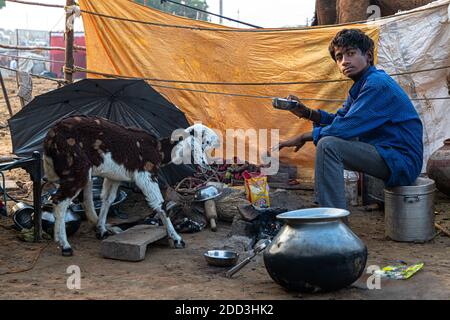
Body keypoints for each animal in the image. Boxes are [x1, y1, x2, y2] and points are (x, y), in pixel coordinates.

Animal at [43, 116, 219, 256]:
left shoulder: (114, 176)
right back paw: (64, 245)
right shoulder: (146, 174)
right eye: (205, 141)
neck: (158, 150)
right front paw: (177, 239)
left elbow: (108, 200)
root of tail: (50, 139)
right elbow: (160, 205)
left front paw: (102, 230)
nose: (207, 164)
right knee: (59, 201)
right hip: (76, 168)